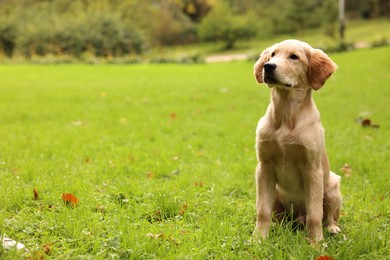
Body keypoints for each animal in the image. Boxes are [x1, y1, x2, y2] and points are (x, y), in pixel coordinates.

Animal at [253, 39, 342, 241]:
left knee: (328, 216)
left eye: (294, 57)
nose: (268, 67)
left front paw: (316, 242)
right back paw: (277, 228)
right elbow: (262, 211)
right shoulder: (264, 168)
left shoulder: (312, 170)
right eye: (272, 55)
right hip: (277, 193)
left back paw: (332, 229)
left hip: (332, 186)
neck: (286, 115)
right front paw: (258, 239)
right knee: (280, 218)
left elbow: (315, 215)